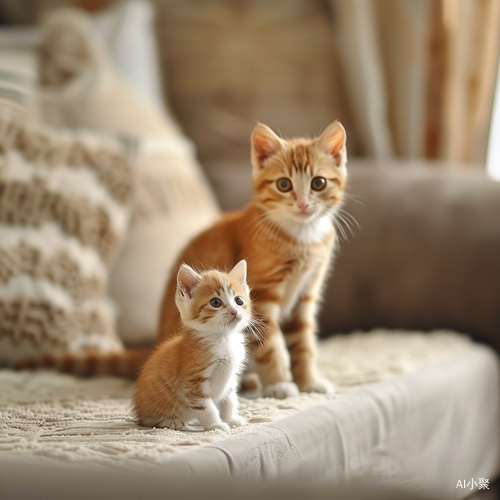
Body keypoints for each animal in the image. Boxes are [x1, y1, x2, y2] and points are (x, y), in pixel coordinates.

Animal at [133, 262, 250, 430]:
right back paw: (171, 421)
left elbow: (229, 400)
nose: (234, 311)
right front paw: (216, 425)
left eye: (239, 300)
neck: (223, 339)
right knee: (149, 421)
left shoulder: (230, 377)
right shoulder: (192, 381)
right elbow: (207, 407)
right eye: (215, 302)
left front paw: (232, 419)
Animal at [160, 120, 348, 398]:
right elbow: (270, 344)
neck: (303, 239)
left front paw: (309, 382)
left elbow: (304, 344)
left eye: (318, 183)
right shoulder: (262, 295)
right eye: (284, 184)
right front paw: (280, 383)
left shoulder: (306, 294)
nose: (303, 204)